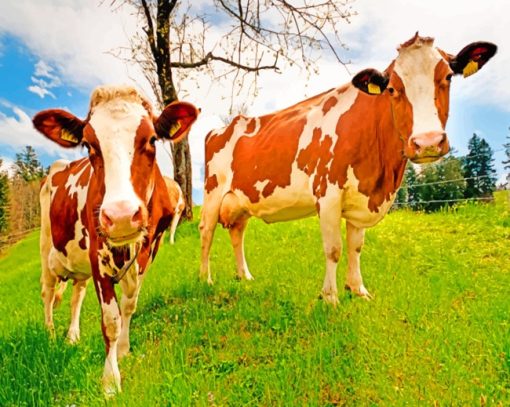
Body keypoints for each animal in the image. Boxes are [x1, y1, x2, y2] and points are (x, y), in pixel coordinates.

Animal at [34, 87, 197, 396]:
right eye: (89, 145)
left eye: (152, 139)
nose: (121, 216)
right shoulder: (98, 256)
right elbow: (111, 320)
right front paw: (110, 382)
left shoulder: (148, 252)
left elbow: (129, 305)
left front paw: (123, 350)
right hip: (47, 248)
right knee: (48, 292)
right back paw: (49, 336)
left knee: (76, 294)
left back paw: (72, 335)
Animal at [200, 33, 498, 304]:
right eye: (392, 88)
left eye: (448, 77)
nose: (427, 142)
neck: (382, 177)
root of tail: (221, 127)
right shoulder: (328, 194)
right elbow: (334, 249)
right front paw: (330, 298)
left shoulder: (362, 195)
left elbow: (356, 247)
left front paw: (357, 290)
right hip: (213, 191)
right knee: (207, 231)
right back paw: (206, 279)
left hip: (240, 200)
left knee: (237, 233)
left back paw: (245, 276)